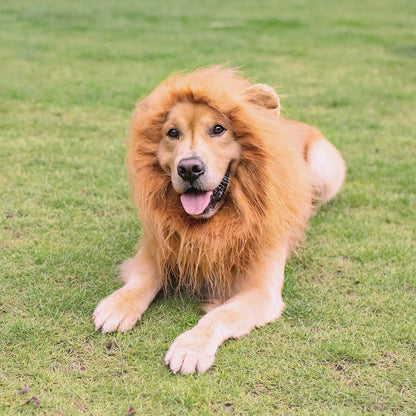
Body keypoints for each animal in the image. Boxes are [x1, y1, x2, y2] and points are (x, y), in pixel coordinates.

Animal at [92, 67, 346, 374]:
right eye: (172, 133)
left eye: (218, 129)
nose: (189, 168)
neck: (211, 222)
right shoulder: (157, 247)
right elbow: (143, 281)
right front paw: (117, 305)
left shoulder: (262, 290)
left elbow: (220, 315)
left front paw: (191, 346)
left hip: (325, 168)